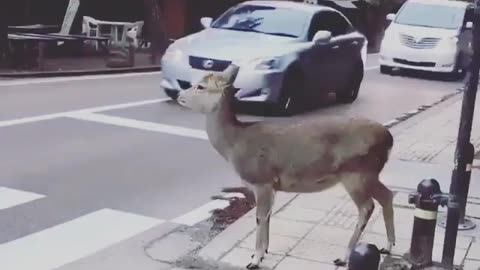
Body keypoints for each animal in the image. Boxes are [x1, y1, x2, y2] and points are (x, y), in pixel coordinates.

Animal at [178, 64, 396, 268]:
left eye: (201, 86)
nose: (179, 95)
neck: (234, 144)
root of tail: (389, 138)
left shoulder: (261, 179)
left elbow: (260, 217)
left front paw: (255, 260)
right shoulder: (272, 185)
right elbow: (267, 216)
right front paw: (264, 252)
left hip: (356, 171)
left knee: (367, 207)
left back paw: (344, 257)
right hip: (370, 172)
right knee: (387, 195)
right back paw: (388, 246)